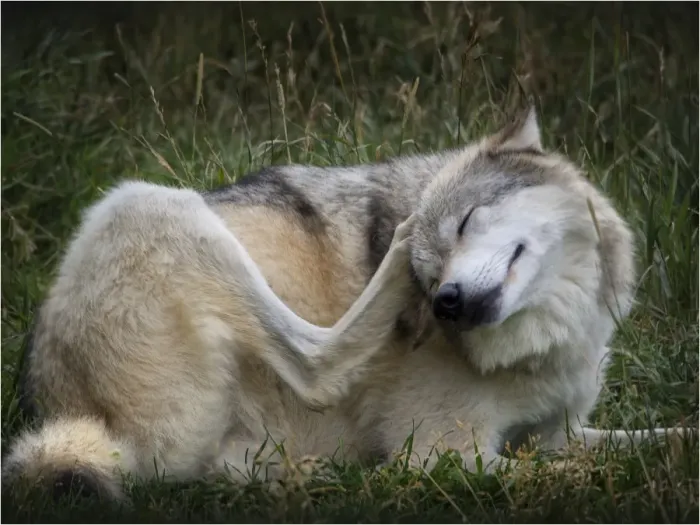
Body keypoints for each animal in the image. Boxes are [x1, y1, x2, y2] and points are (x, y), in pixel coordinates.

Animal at [2, 107, 689, 502]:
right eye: (429, 275)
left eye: (467, 221)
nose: (445, 300)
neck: (549, 342)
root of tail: (52, 405)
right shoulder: (442, 455)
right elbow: (562, 474)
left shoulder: (558, 432)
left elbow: (661, 438)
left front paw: (680, 444)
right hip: (144, 202)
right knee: (316, 365)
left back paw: (318, 478)